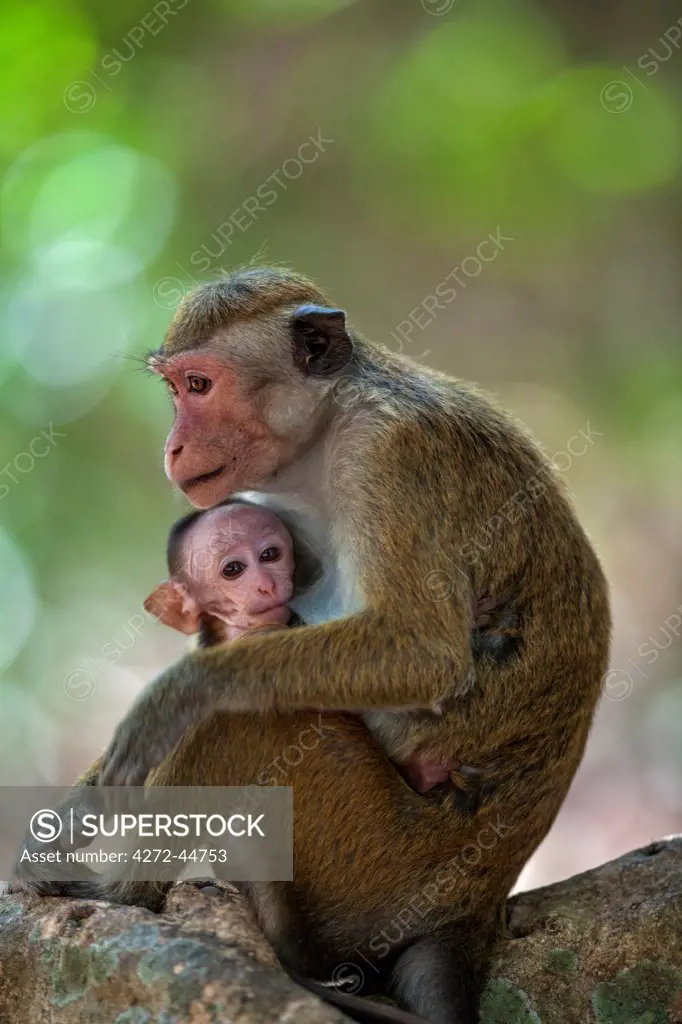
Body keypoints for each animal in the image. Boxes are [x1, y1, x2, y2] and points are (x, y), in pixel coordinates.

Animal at [23, 266, 606, 1024]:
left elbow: (423, 651)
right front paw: (68, 814)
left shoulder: (389, 456)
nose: (172, 447)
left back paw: (125, 893)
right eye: (175, 390)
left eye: (199, 386)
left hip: (380, 863)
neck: (328, 432)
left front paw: (174, 697)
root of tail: (475, 905)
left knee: (235, 725)